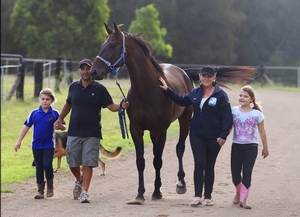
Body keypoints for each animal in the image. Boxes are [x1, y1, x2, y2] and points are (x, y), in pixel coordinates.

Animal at [90, 22, 256, 203]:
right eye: (103, 45)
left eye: (112, 45)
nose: (93, 71)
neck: (148, 90)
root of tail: (182, 72)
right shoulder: (136, 129)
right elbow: (141, 161)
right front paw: (140, 193)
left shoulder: (161, 130)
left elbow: (158, 161)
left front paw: (156, 192)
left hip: (183, 122)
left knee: (179, 148)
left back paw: (180, 183)